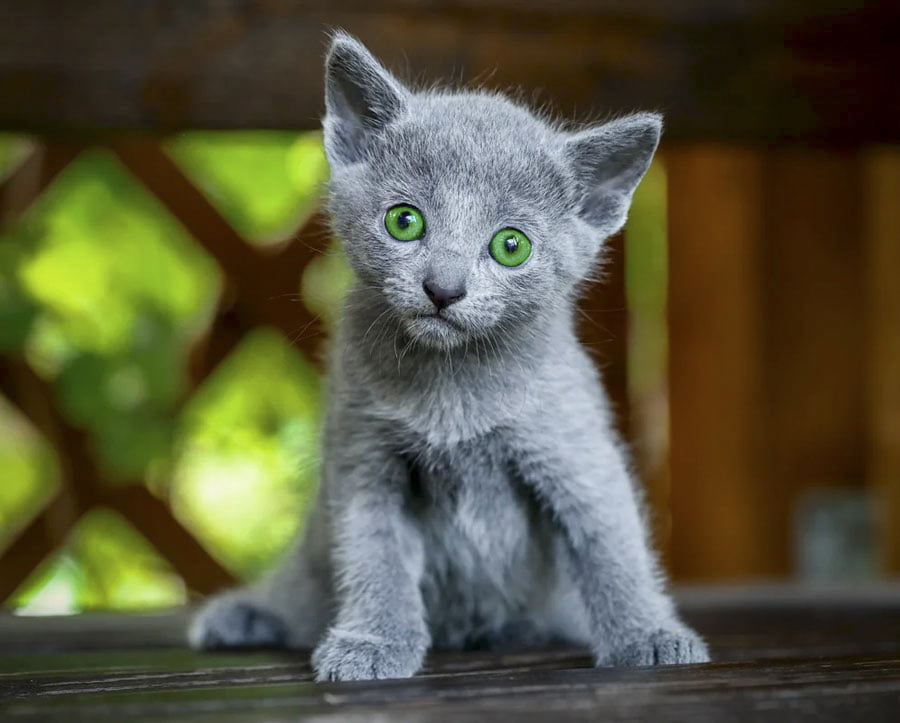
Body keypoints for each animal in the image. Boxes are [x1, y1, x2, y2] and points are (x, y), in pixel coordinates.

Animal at [190, 31, 712, 680]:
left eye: (511, 246)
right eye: (404, 221)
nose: (443, 287)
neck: (452, 386)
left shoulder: (575, 450)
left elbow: (611, 546)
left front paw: (649, 634)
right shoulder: (363, 458)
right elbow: (375, 556)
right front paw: (373, 641)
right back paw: (248, 616)